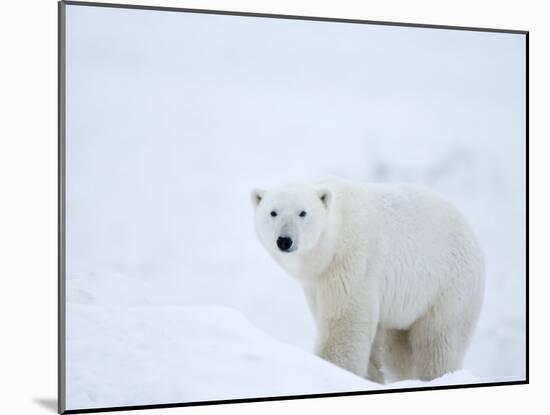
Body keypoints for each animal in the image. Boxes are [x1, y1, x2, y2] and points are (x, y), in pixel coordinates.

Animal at [252, 180, 486, 386]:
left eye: (303, 212)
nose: (284, 240)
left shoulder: (353, 262)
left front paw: (334, 370)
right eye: (273, 212)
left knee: (439, 342)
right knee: (398, 350)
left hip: (448, 285)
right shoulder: (315, 283)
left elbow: (344, 323)